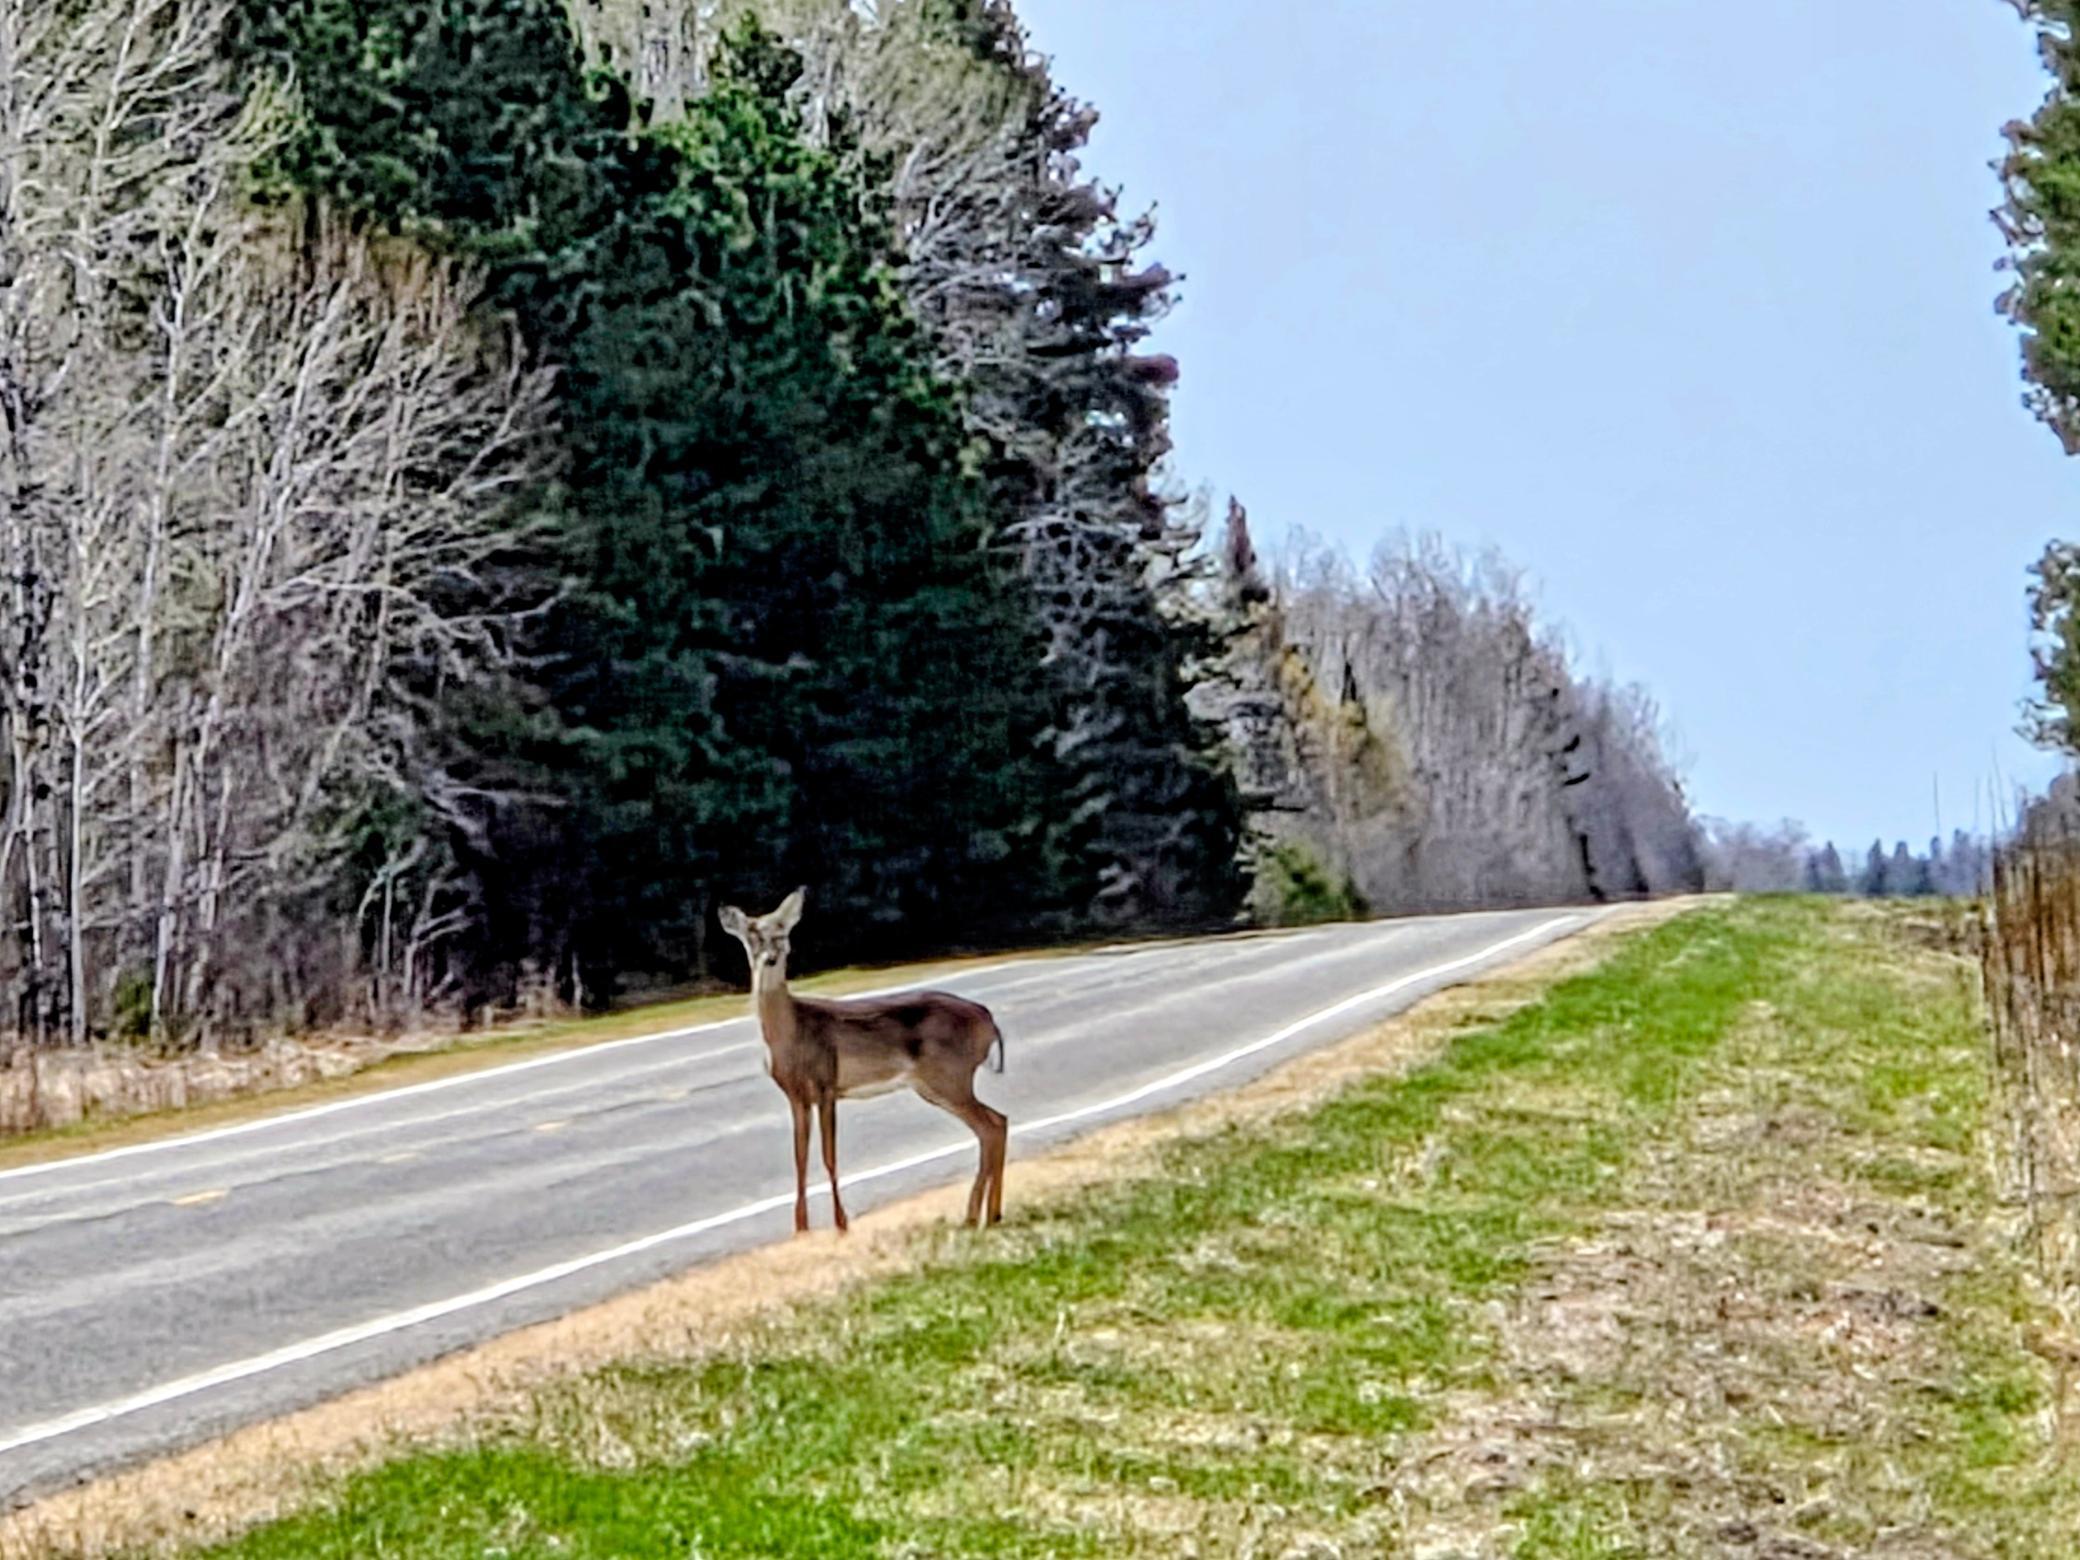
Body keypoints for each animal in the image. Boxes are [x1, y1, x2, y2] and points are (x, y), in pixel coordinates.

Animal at [718, 888, 1008, 1235]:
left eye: (782, 931)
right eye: (752, 934)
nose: (772, 957)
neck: (790, 1034)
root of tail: (988, 1019)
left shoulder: (826, 1084)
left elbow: (829, 1156)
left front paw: (841, 1223)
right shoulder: (795, 1095)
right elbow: (799, 1158)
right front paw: (801, 1228)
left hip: (949, 1076)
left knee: (991, 1125)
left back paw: (974, 1216)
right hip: (934, 1084)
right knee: (996, 1122)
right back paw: (990, 1214)